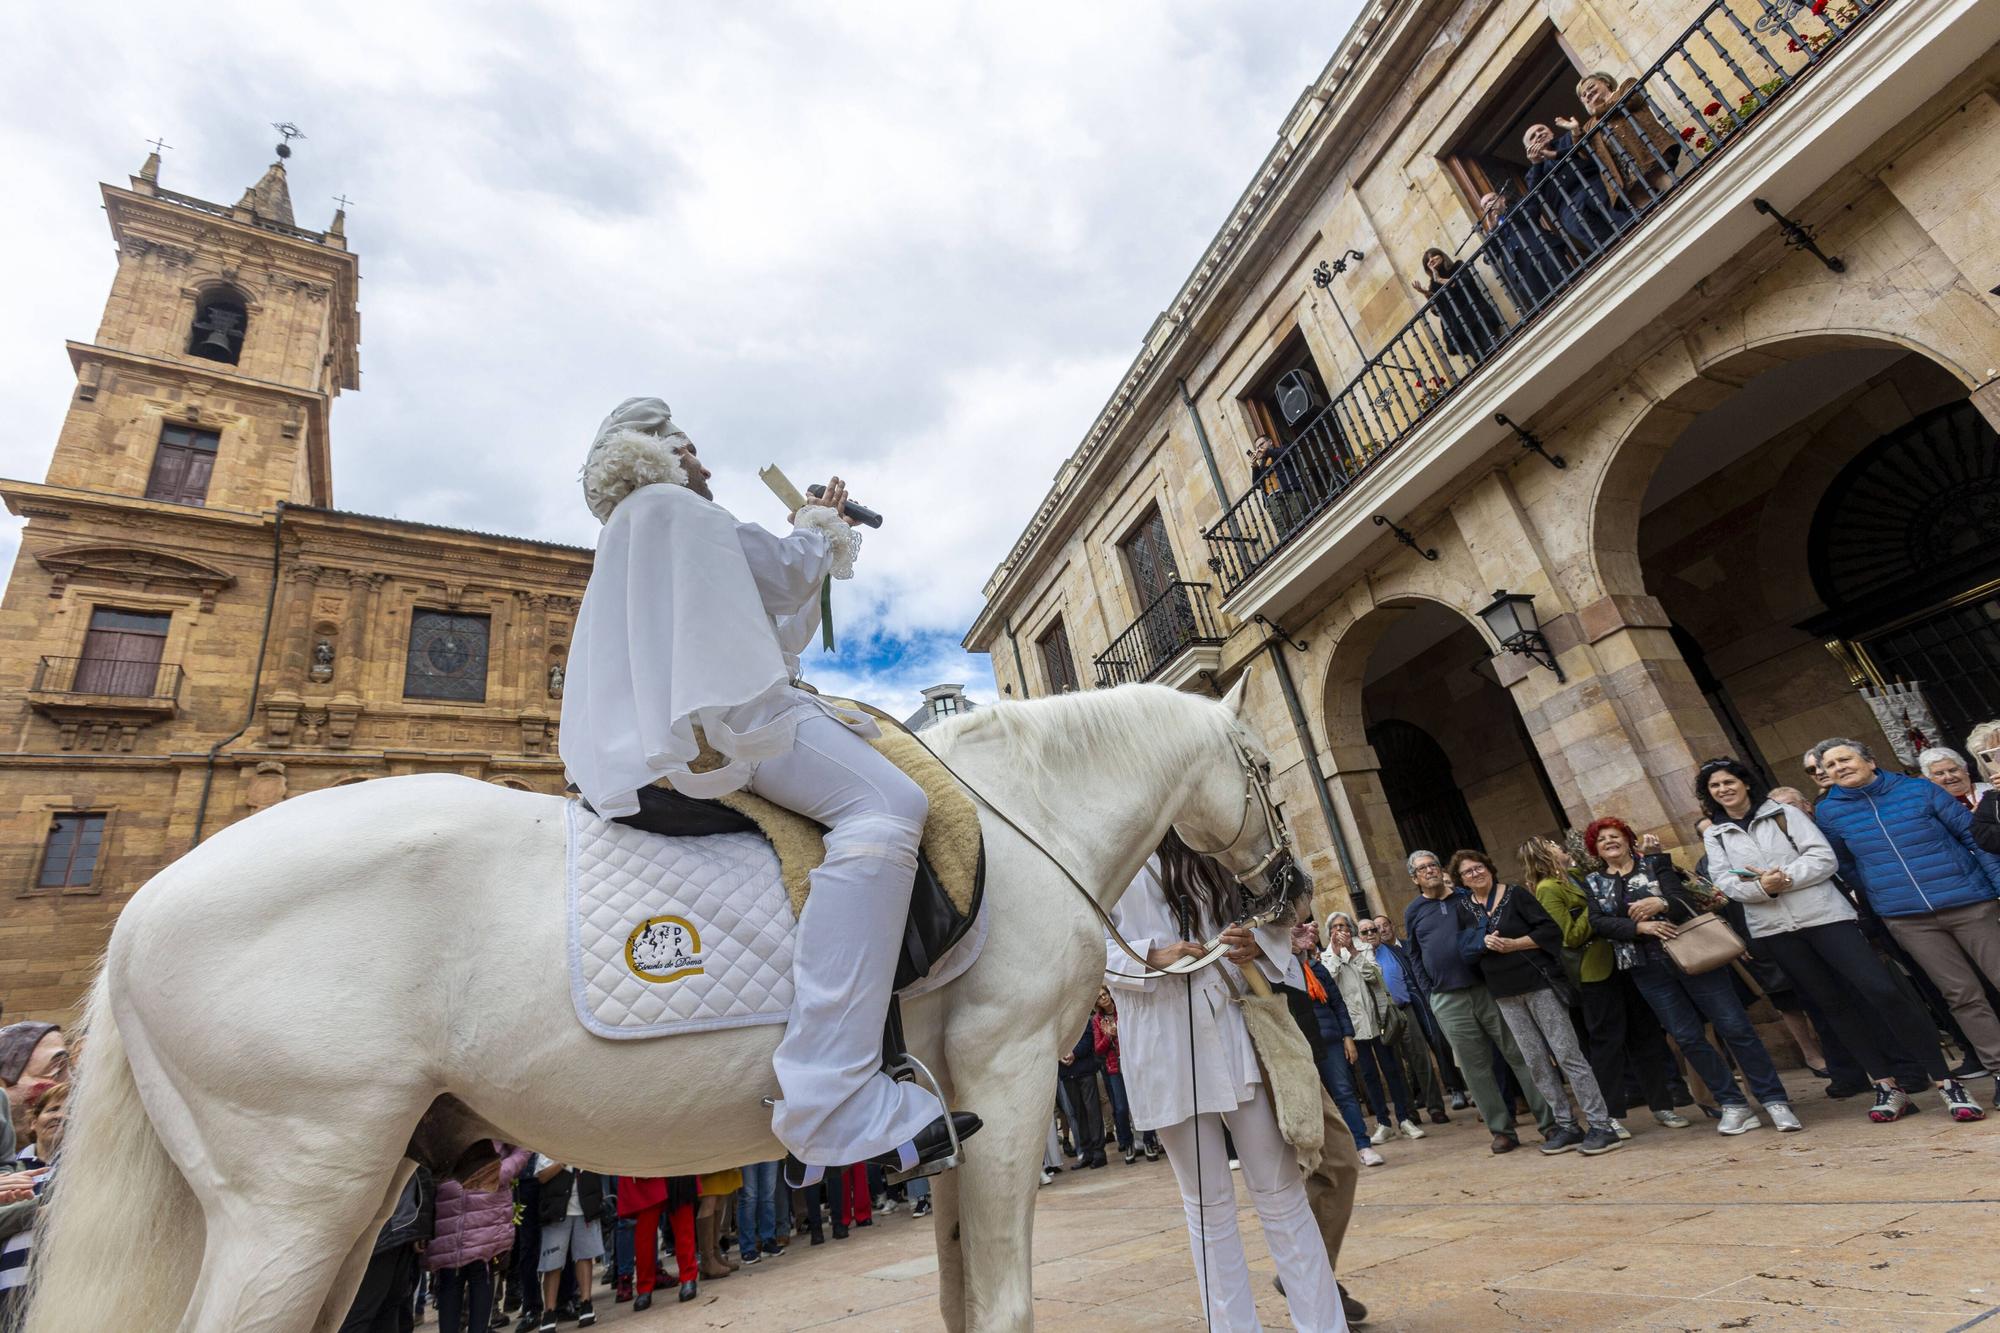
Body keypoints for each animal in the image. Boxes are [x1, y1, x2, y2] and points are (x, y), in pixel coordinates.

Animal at [27, 680, 1296, 1320]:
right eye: (1261, 761)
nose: (1285, 886)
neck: (1017, 816)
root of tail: (142, 908)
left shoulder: (957, 1109)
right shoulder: (1012, 1069)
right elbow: (998, 1301)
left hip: (334, 1199)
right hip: (295, 1202)